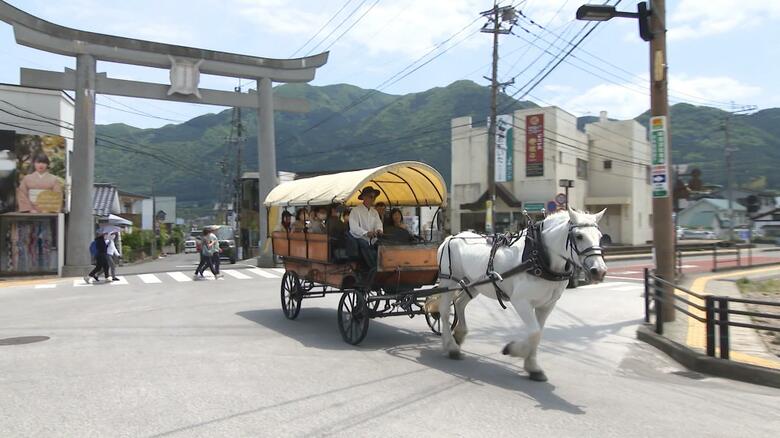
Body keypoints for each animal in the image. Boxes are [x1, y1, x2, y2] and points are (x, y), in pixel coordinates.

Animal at [436, 207, 608, 382]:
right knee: (444, 310)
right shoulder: (521, 301)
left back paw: (459, 334)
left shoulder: (547, 305)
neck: (538, 257)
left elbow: (538, 333)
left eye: (600, 236)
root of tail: (451, 237)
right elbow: (534, 332)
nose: (599, 271)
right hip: (449, 281)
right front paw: (514, 350)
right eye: (579, 236)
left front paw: (532, 367)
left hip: (474, 283)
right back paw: (451, 346)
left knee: (459, 303)